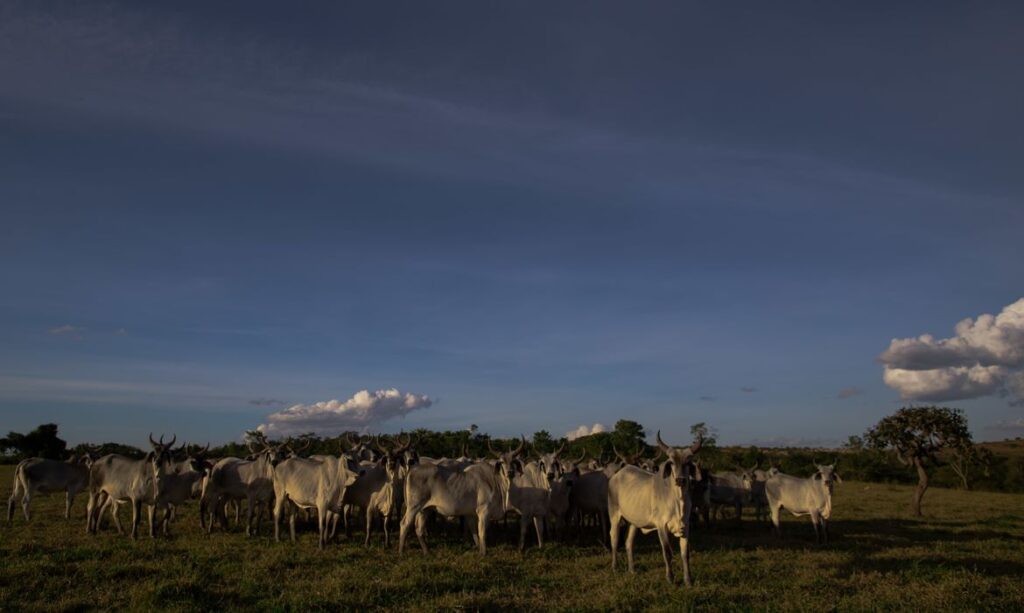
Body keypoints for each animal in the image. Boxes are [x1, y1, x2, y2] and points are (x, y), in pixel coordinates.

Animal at [606, 431, 704, 585]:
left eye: (688, 462)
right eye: (671, 462)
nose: (680, 480)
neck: (677, 500)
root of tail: (617, 474)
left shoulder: (686, 526)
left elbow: (685, 553)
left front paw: (688, 580)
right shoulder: (661, 526)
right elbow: (667, 552)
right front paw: (670, 578)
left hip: (634, 522)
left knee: (628, 542)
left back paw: (632, 570)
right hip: (614, 515)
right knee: (614, 539)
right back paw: (615, 567)